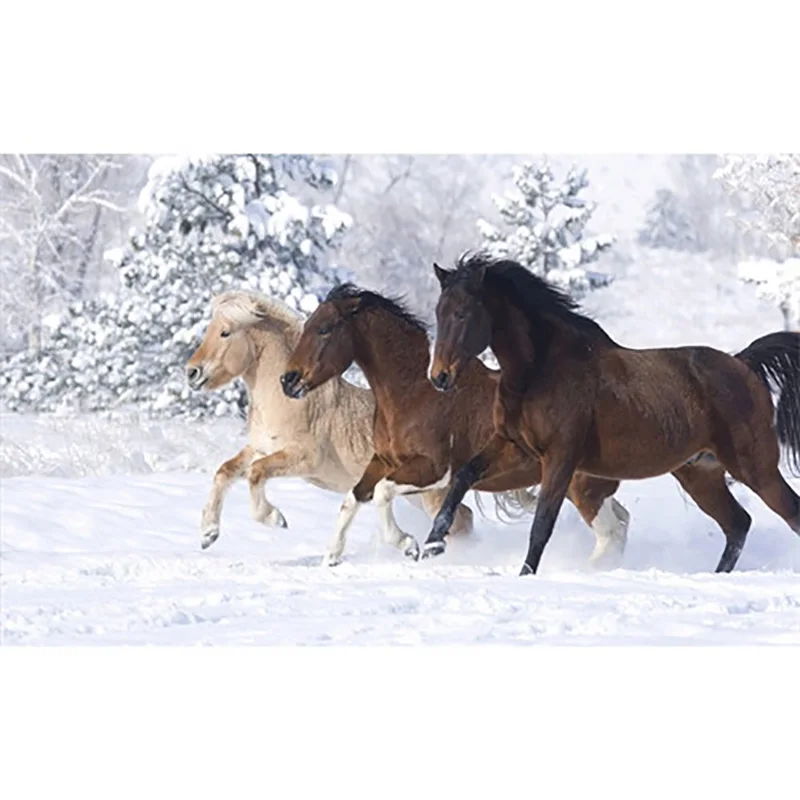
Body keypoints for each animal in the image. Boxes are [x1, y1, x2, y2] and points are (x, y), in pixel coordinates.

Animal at [184, 289, 475, 553]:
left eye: (225, 332)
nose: (191, 372)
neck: (288, 401)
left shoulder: (304, 458)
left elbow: (256, 473)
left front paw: (275, 518)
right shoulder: (260, 448)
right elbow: (225, 471)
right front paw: (208, 534)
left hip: (430, 493)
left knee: (461, 520)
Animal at [280, 282, 632, 566]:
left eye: (325, 329)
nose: (288, 380)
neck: (414, 393)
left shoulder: (435, 470)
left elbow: (381, 493)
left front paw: (409, 545)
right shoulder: (383, 460)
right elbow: (353, 498)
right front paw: (331, 557)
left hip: (581, 487)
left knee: (612, 533)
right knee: (621, 522)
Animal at [424, 251, 800, 576]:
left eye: (462, 313)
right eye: (439, 312)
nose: (439, 377)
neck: (540, 369)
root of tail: (743, 363)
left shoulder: (560, 457)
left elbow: (542, 523)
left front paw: (523, 575)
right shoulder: (513, 446)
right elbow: (462, 477)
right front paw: (431, 546)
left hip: (755, 468)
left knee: (786, 514)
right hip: (701, 474)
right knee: (737, 524)